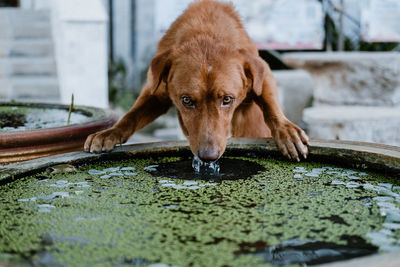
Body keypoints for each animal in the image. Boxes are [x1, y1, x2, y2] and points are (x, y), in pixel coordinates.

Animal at [85, 0, 310, 162]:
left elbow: (271, 107)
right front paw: (110, 133)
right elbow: (131, 116)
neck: (206, 33)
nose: (208, 156)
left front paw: (287, 131)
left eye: (227, 100)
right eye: (186, 100)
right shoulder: (155, 92)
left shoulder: (261, 73)